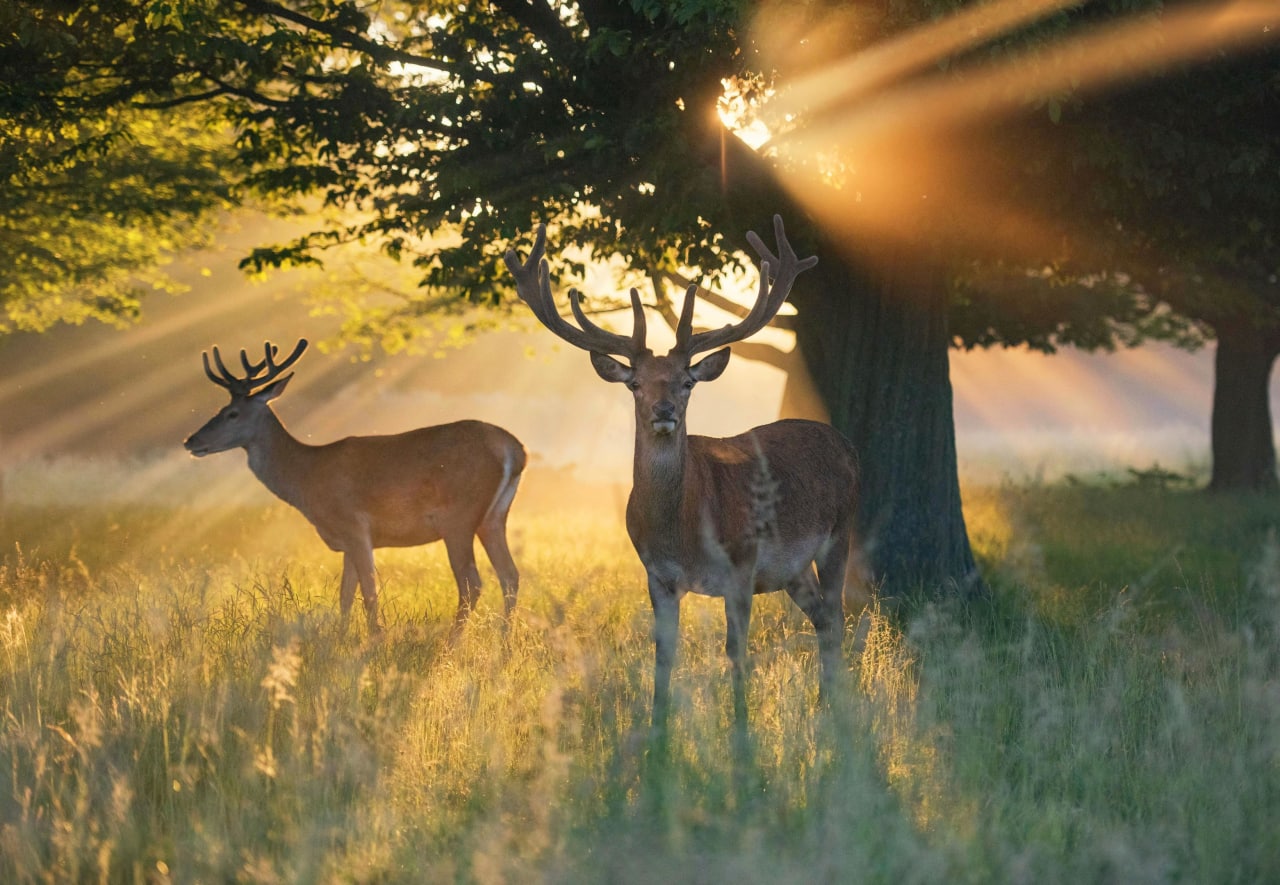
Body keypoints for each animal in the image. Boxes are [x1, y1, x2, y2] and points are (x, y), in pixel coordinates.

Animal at [181, 338, 524, 637]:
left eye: (232, 413)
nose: (191, 440)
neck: (306, 477)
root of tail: (513, 448)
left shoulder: (356, 526)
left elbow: (369, 593)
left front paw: (374, 642)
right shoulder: (346, 541)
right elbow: (345, 596)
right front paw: (340, 640)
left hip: (459, 517)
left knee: (472, 582)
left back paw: (452, 645)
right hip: (495, 517)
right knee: (510, 575)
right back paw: (504, 646)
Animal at [501, 216, 860, 727]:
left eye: (687, 381)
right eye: (634, 383)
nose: (664, 410)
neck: (684, 529)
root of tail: (846, 443)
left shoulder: (741, 564)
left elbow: (736, 652)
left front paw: (741, 728)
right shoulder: (658, 575)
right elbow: (663, 654)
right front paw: (658, 729)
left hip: (839, 533)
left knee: (838, 619)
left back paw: (834, 711)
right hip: (794, 569)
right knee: (823, 620)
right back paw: (824, 704)